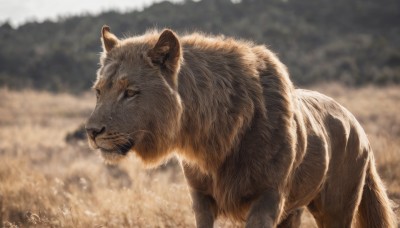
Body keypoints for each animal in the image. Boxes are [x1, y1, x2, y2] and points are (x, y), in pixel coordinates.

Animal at [85, 25, 396, 227]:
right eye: (99, 91)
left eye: (130, 92)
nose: (91, 131)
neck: (210, 140)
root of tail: (356, 122)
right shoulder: (201, 198)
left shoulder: (267, 197)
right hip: (294, 210)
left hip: (337, 208)